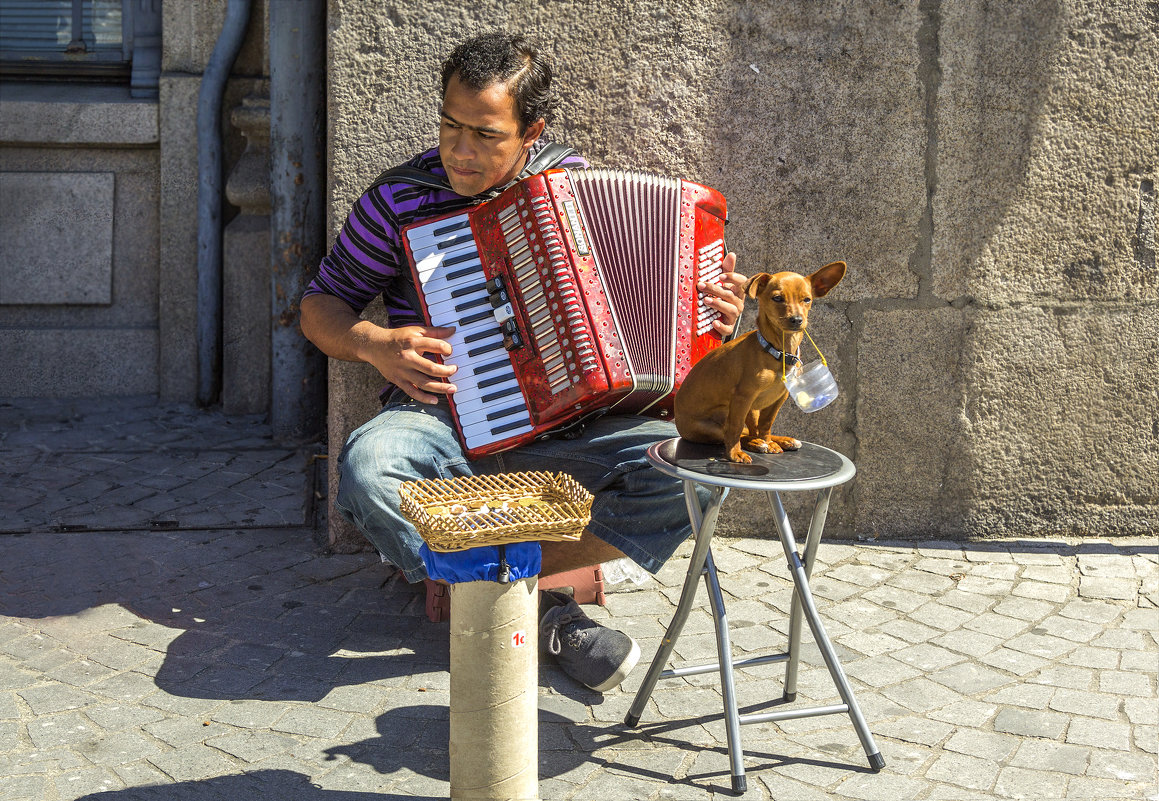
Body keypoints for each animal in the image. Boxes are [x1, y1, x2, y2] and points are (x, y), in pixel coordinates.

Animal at [676, 263, 848, 463]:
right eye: (777, 298)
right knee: (734, 433)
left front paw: (769, 442)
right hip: (713, 425)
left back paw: (776, 440)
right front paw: (735, 453)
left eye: (807, 300)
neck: (778, 352)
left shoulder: (779, 398)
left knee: (752, 431)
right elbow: (735, 428)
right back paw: (755, 443)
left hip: (752, 410)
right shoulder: (744, 397)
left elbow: (766, 424)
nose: (797, 319)